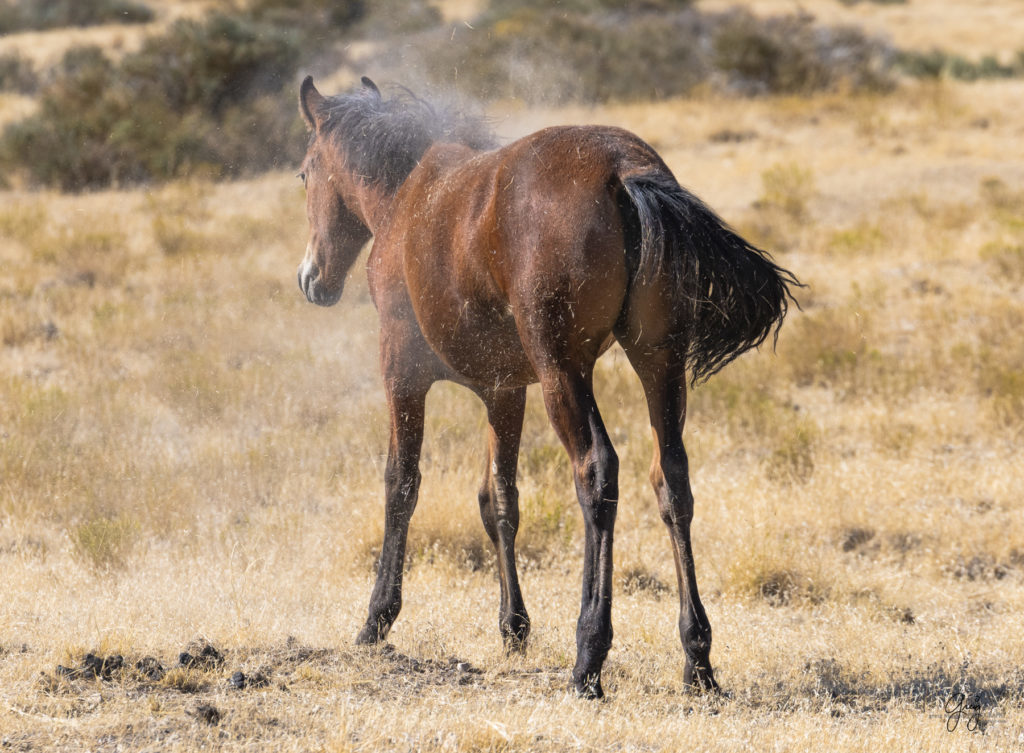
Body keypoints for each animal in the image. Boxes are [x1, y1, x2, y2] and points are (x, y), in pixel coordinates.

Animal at [296, 73, 798, 696]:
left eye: (304, 173)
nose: (311, 279)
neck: (411, 195)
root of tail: (624, 170)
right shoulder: (504, 391)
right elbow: (499, 500)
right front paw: (513, 627)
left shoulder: (402, 372)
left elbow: (401, 484)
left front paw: (376, 618)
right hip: (658, 364)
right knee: (671, 480)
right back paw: (697, 660)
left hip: (566, 373)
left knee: (597, 473)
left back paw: (588, 657)